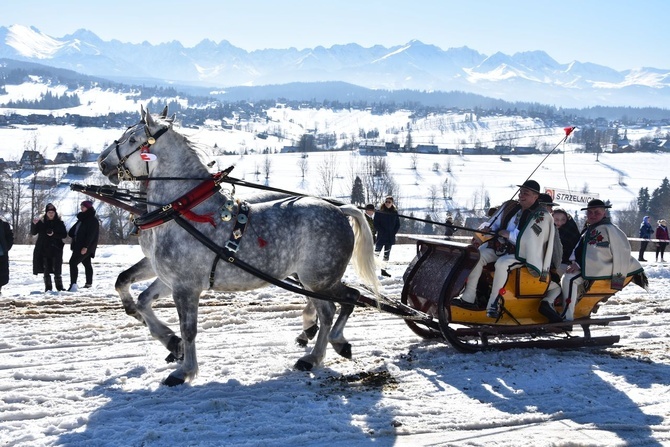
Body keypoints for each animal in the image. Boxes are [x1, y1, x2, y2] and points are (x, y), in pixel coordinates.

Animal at [98, 107, 380, 386]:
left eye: (133, 139)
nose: (102, 162)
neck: (182, 210)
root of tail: (339, 209)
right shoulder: (170, 278)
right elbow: (141, 298)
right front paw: (170, 342)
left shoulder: (186, 287)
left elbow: (188, 329)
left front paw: (185, 370)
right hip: (314, 280)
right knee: (343, 302)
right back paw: (327, 346)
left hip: (317, 279)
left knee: (335, 307)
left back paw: (317, 354)